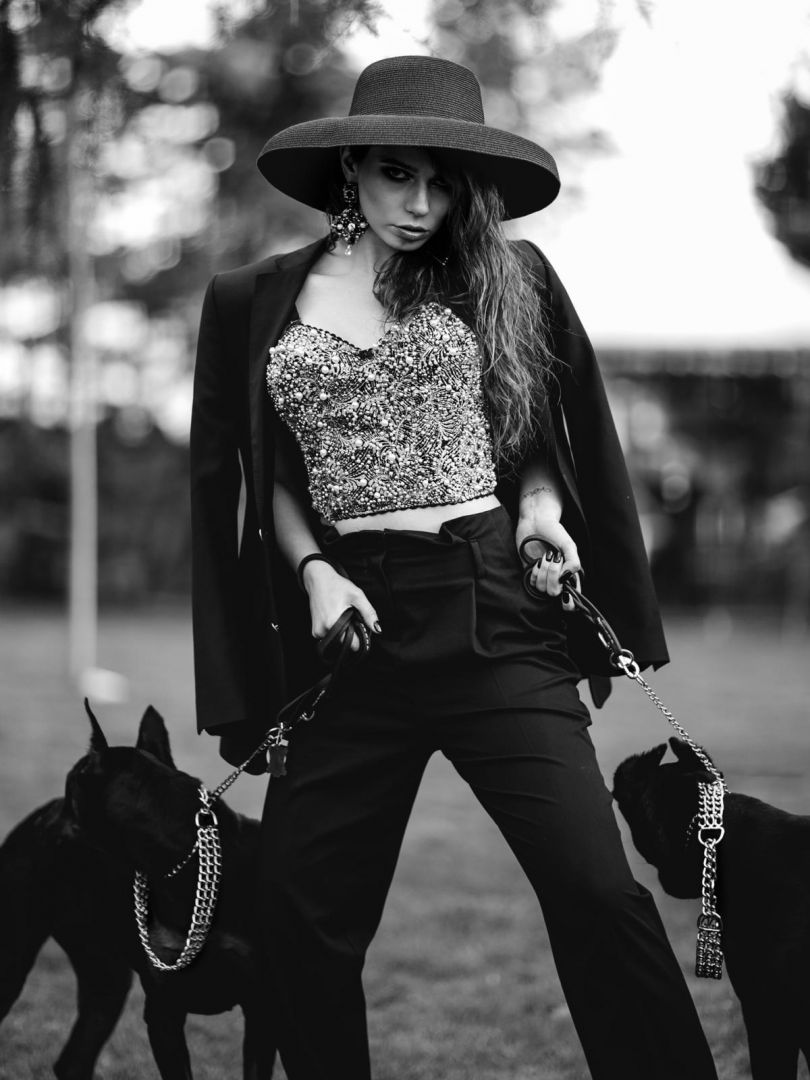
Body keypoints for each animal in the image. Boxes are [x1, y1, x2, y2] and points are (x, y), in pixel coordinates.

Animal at [0, 702, 277, 1080]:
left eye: (70, 790)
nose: (47, 824)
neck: (187, 863)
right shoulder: (163, 1009)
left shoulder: (262, 1007)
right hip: (17, 952)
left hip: (103, 970)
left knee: (75, 1056)